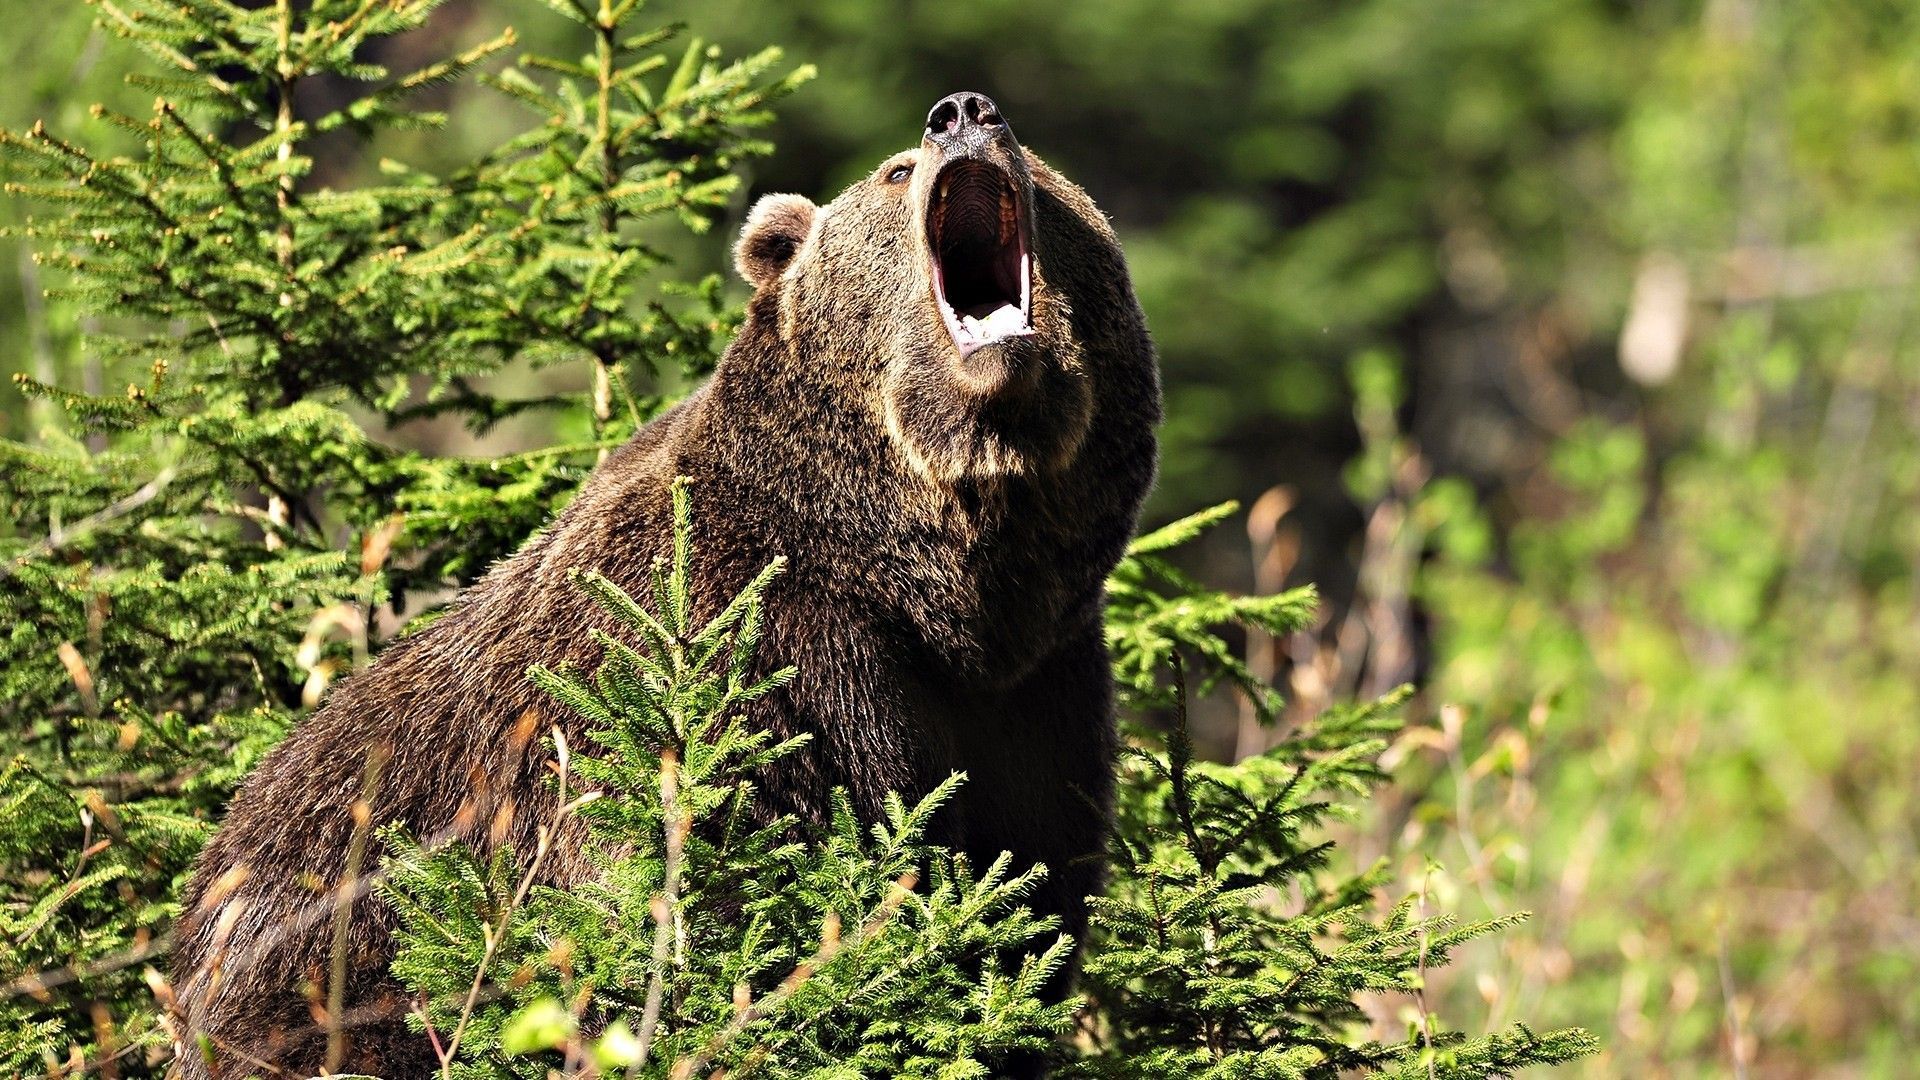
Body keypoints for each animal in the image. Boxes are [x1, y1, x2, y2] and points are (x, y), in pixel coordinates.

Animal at [168, 88, 1152, 1068]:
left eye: (1041, 167)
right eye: (896, 170)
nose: (963, 112)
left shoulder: (1038, 697)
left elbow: (1023, 905)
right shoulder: (744, 653)